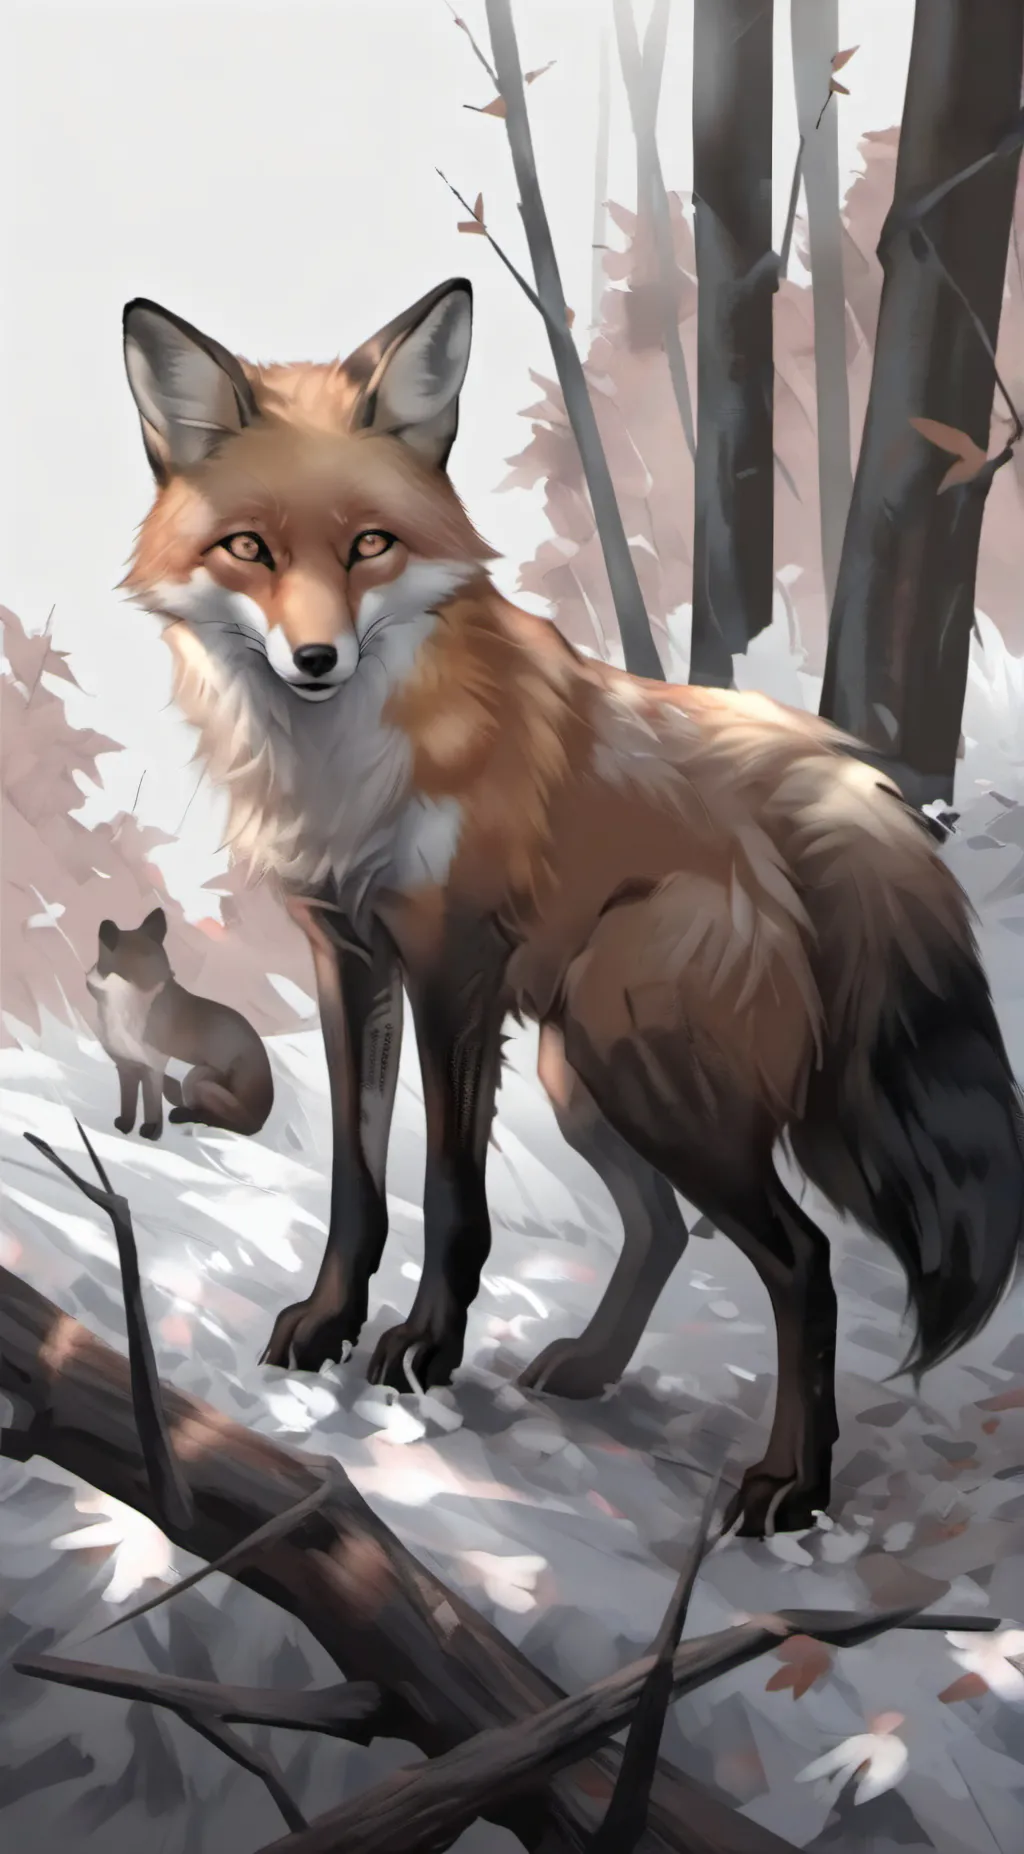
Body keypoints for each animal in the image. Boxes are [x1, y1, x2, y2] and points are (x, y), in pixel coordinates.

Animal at [87, 908, 273, 1141]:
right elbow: (128, 1103)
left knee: (225, 1122)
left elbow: (151, 1105)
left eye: (167, 969)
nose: (88, 979)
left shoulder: (152, 1066)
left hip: (194, 1080)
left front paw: (151, 1132)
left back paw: (183, 1116)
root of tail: (262, 1120)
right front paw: (124, 1128)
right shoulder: (126, 1065)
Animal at [117, 278, 1024, 1535]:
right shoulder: (349, 953)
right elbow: (359, 1183)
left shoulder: (452, 963)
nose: (315, 659)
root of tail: (828, 773)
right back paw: (593, 1369)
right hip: (583, 1068)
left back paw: (791, 1483)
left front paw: (424, 1347)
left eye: (368, 546)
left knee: (800, 1260)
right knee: (659, 1227)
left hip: (630, 1047)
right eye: (248, 549)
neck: (348, 770)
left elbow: (452, 1196)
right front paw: (329, 1321)